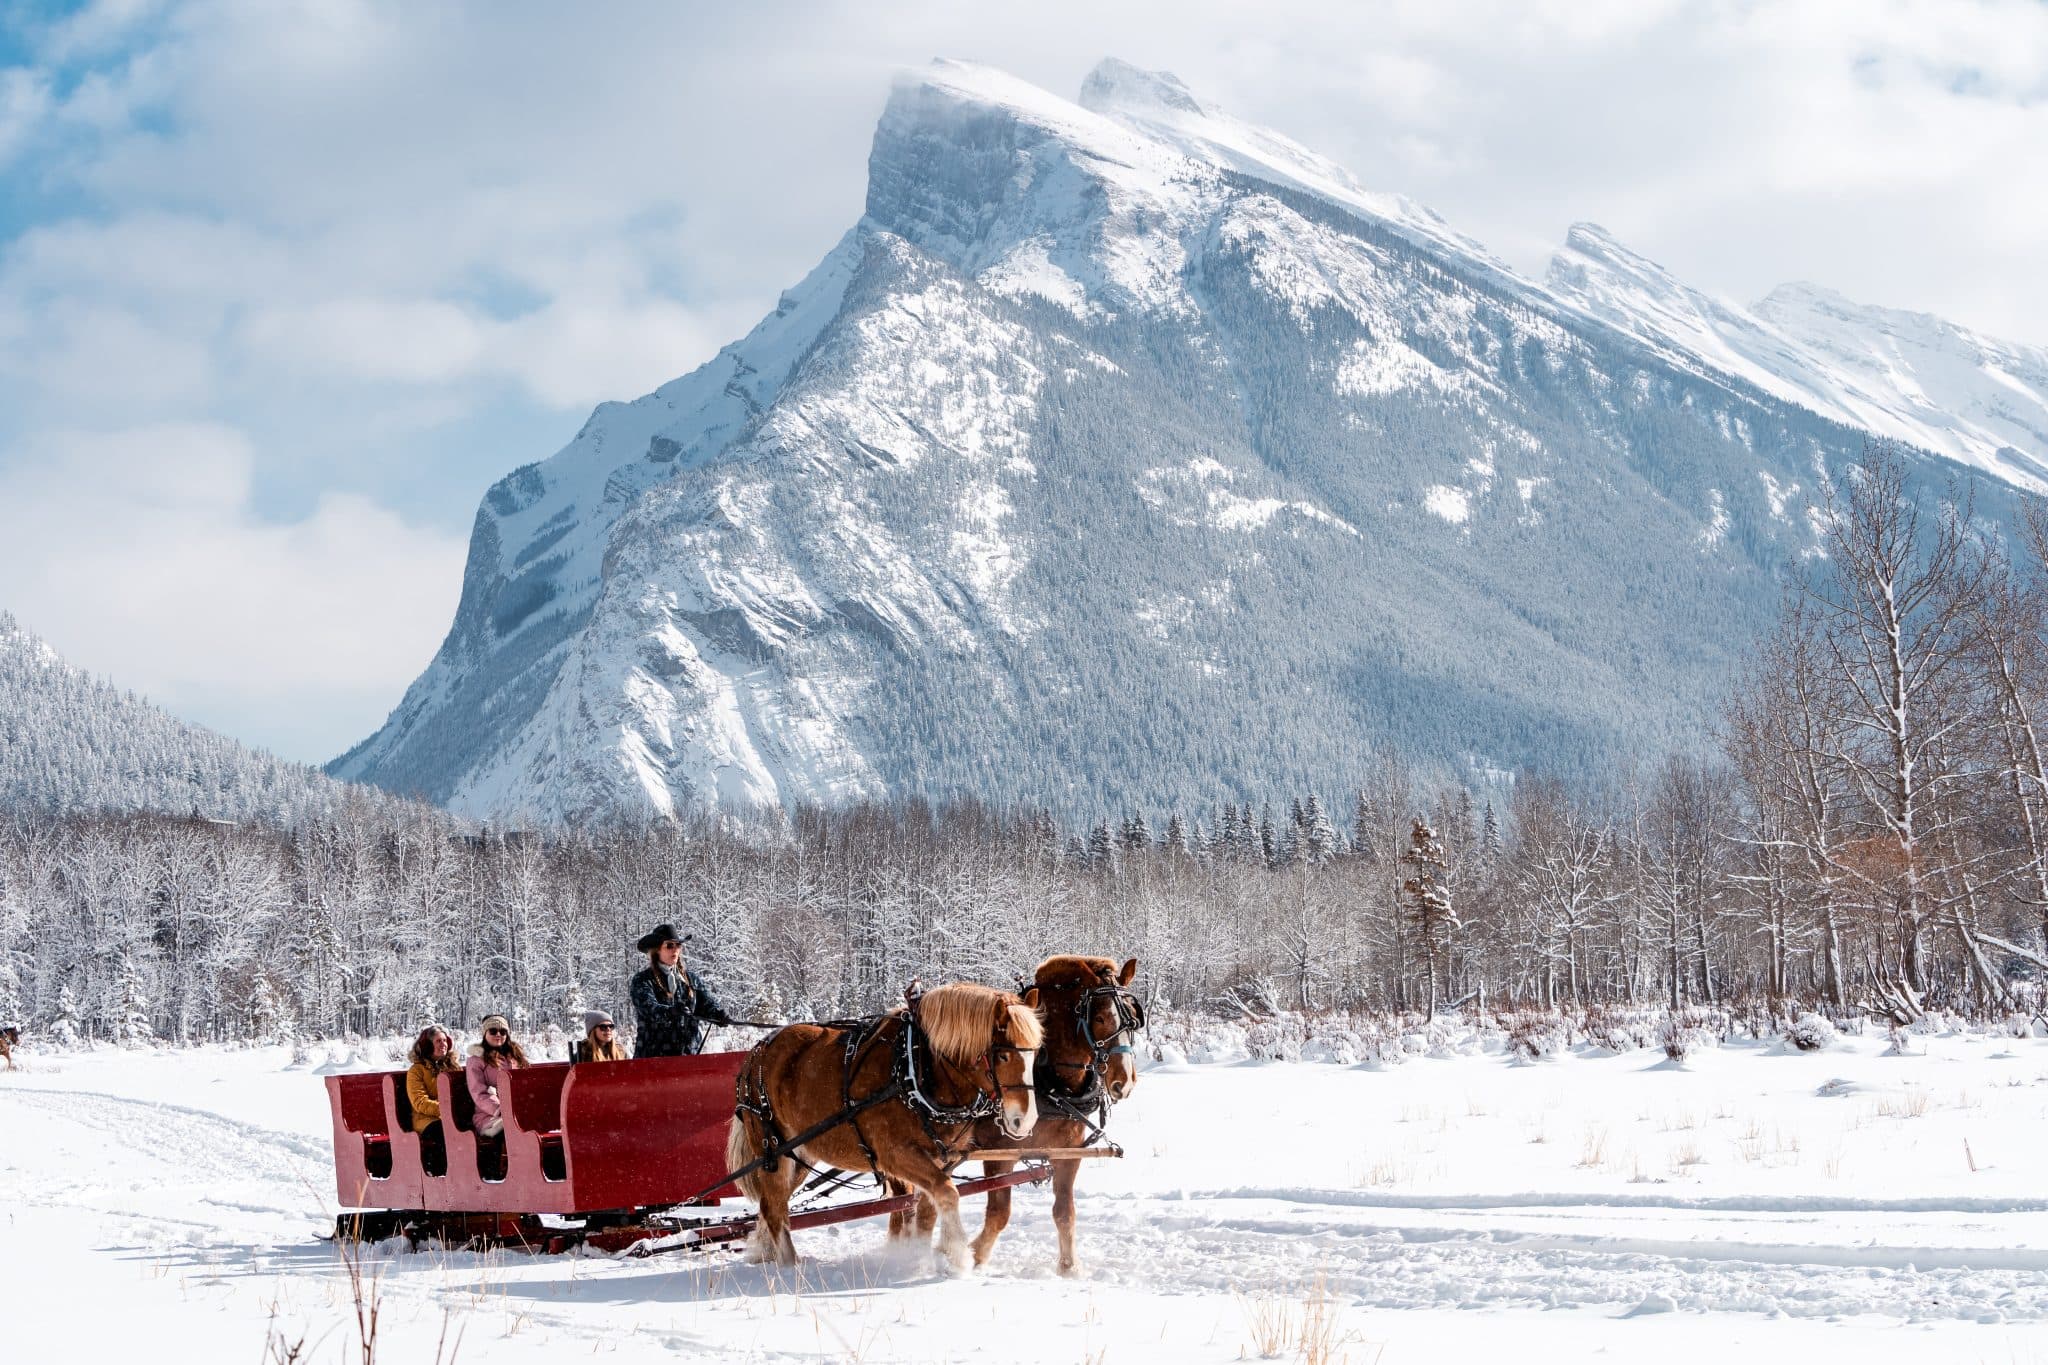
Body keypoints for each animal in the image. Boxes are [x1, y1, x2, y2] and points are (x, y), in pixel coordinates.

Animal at [725, 981, 1043, 1273]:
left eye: (1036, 1053)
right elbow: (947, 1193)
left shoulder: (942, 1158)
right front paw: (957, 1256)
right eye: (1003, 1055)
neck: (915, 1068)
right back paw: (790, 1266)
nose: (1024, 1121)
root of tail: (756, 1052)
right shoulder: (896, 1154)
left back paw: (765, 1253)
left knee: (770, 1205)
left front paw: (919, 1254)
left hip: (800, 1154)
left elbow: (925, 1209)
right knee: (774, 1208)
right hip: (773, 1151)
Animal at [913, 956, 1143, 1274]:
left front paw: (1069, 1268)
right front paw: (974, 1255)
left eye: (1133, 1017)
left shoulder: (1067, 1153)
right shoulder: (999, 1154)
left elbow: (1064, 1212)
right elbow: (999, 1212)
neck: (1051, 1083)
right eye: (1099, 1018)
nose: (1125, 1081)